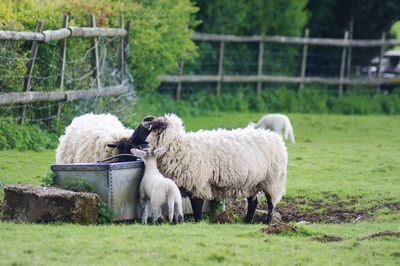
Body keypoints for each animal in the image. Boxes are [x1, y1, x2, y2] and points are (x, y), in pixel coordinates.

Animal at [133, 113, 290, 223]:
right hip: (253, 181)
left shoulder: (198, 182)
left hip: (272, 179)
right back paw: (247, 222)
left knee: (271, 202)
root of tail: (275, 137)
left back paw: (268, 222)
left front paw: (198, 221)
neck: (179, 146)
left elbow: (197, 205)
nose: (131, 140)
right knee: (253, 202)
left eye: (144, 129)